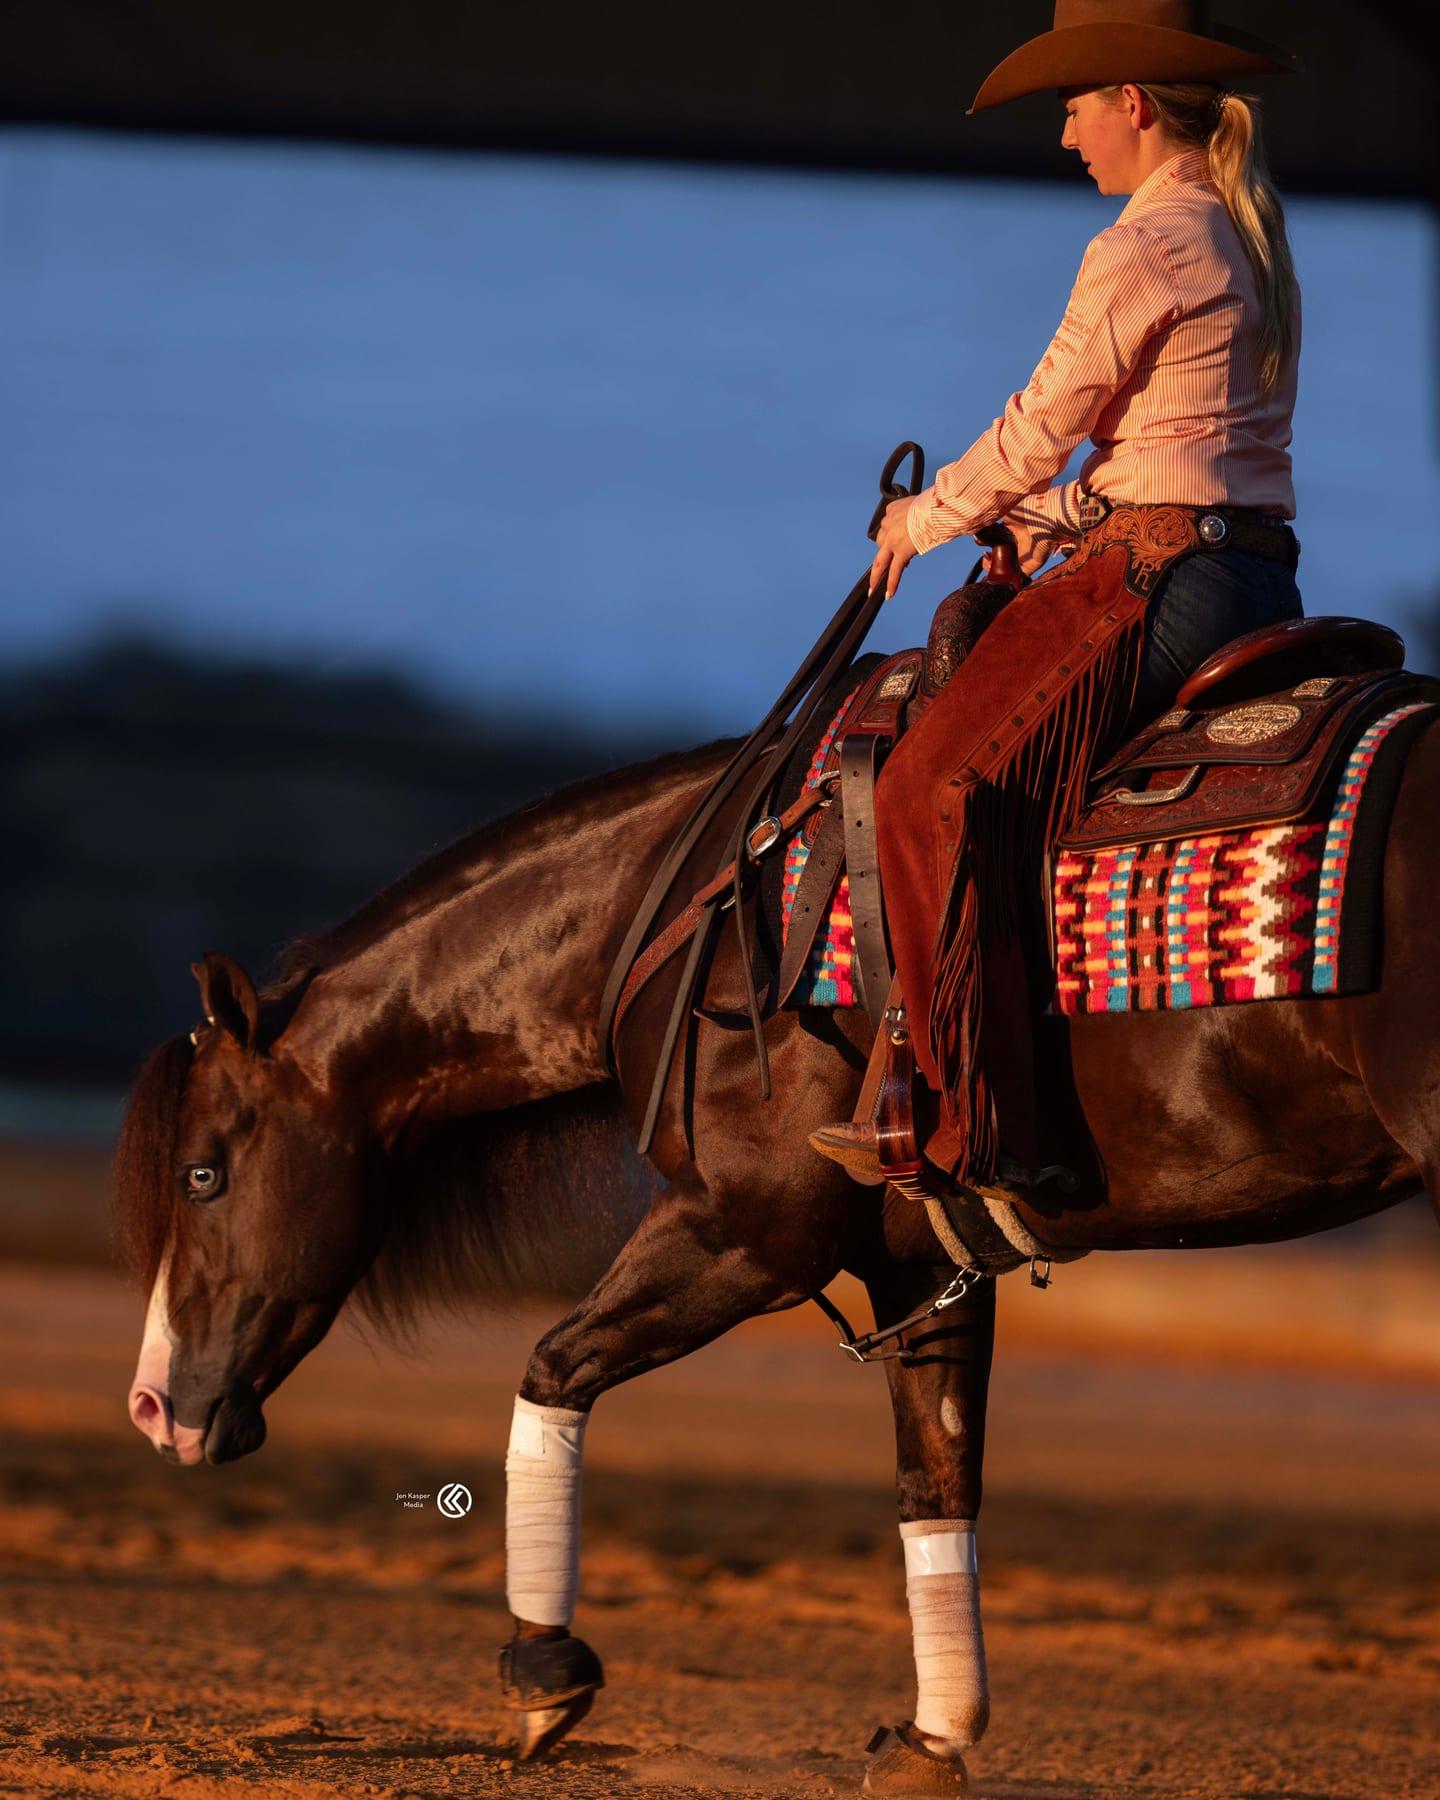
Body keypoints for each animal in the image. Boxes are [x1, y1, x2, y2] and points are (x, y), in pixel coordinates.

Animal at [115, 686, 1440, 1796]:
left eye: (202, 1172)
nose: (153, 1407)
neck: (686, 923)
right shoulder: (923, 1266)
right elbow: (935, 1479)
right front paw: (933, 1740)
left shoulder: (748, 1232)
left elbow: (555, 1365)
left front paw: (544, 1673)